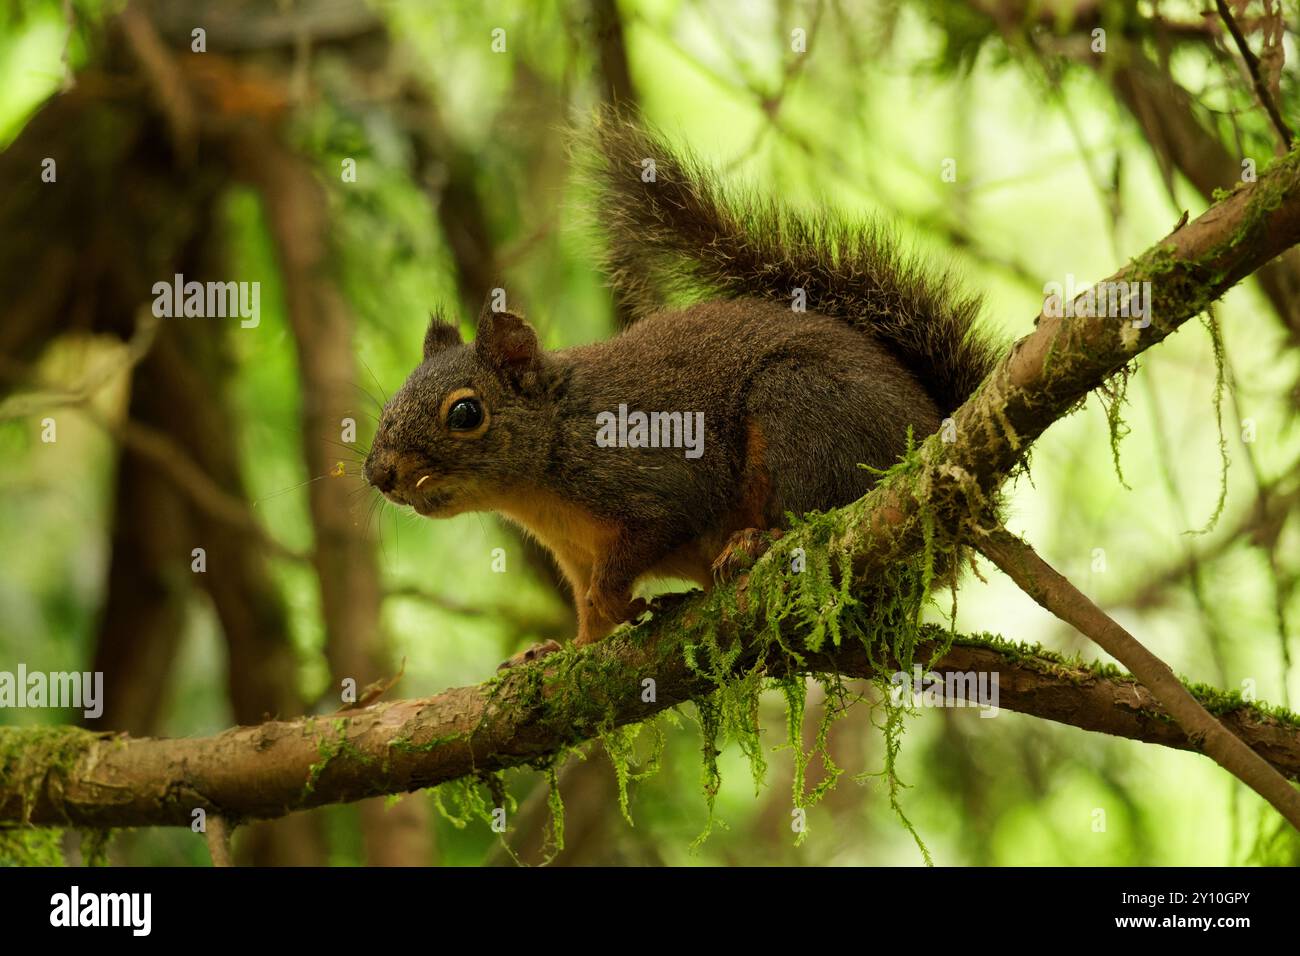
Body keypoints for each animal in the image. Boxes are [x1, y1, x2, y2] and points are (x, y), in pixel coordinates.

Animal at [364, 113, 1000, 669]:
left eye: (465, 413)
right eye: (390, 402)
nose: (379, 474)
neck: (544, 474)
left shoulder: (648, 479)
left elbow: (648, 537)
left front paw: (615, 600)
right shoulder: (575, 554)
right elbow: (589, 620)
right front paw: (564, 648)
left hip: (802, 411)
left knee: (815, 510)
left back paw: (755, 543)